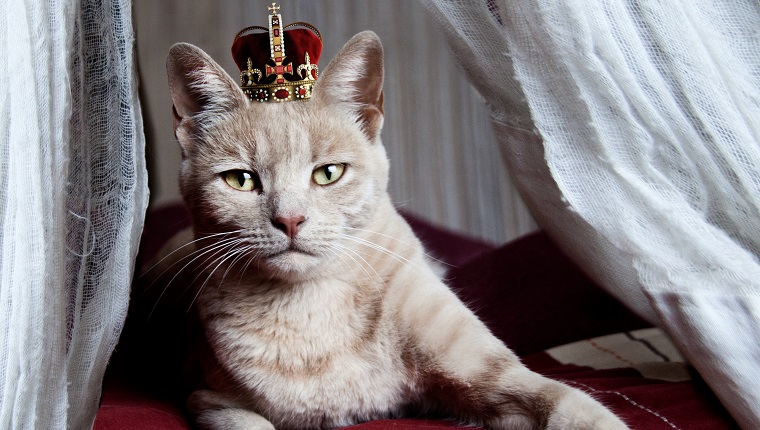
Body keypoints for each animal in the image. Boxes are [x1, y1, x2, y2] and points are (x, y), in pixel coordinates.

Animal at [162, 31, 628, 430]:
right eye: (241, 180)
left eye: (328, 173)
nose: (290, 219)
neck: (311, 307)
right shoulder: (211, 401)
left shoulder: (493, 376)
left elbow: (570, 405)